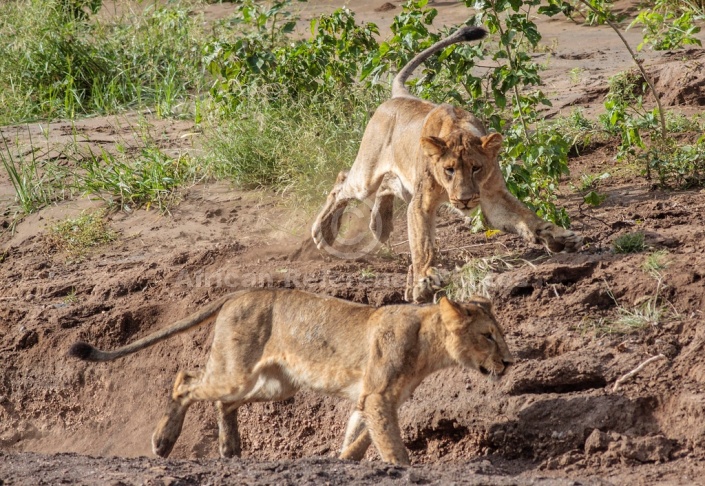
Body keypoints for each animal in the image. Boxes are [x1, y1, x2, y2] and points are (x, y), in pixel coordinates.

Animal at [70, 290, 512, 466]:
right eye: (488, 335)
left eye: (499, 333)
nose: (509, 361)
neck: (429, 346)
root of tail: (239, 293)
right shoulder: (379, 396)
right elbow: (389, 442)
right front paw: (401, 468)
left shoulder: (370, 397)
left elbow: (360, 436)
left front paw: (342, 461)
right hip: (235, 371)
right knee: (186, 380)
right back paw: (163, 442)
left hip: (274, 385)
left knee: (223, 402)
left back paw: (230, 450)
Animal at [310, 25, 580, 304]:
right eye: (449, 170)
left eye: (476, 168)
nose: (464, 200)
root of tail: (397, 97)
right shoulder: (421, 203)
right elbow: (423, 243)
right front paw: (424, 281)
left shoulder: (493, 197)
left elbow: (527, 217)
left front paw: (560, 237)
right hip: (367, 175)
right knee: (343, 181)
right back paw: (323, 232)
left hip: (402, 180)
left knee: (386, 185)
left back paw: (379, 223)